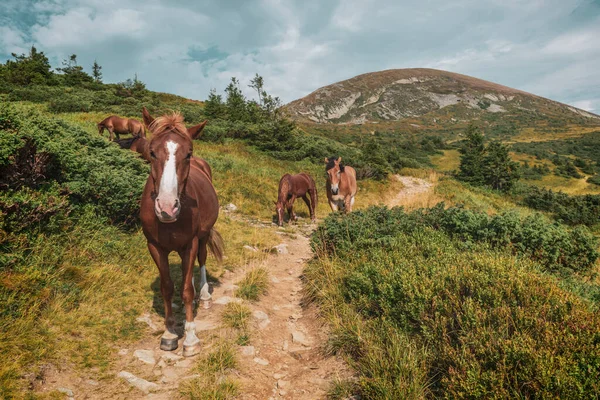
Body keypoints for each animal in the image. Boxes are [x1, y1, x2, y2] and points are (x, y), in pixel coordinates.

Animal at [139, 107, 224, 356]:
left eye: (188, 153)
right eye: (151, 152)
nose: (167, 207)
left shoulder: (191, 243)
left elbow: (185, 290)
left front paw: (191, 338)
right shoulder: (155, 247)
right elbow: (167, 287)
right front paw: (169, 333)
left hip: (202, 237)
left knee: (201, 260)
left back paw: (203, 295)